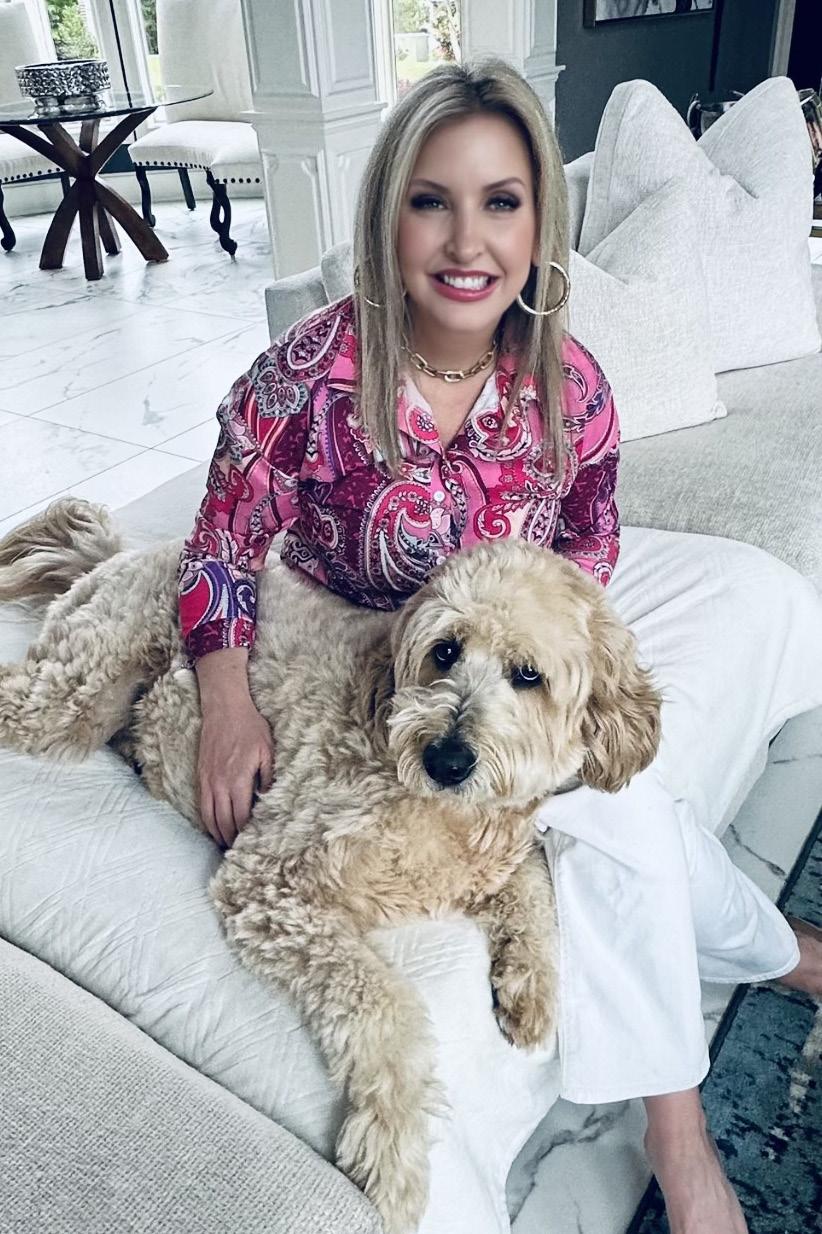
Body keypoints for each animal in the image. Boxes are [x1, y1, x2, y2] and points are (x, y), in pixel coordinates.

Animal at [0, 498, 660, 1233]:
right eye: (445, 651)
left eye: (528, 676)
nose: (447, 758)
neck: (443, 810)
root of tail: (126, 553)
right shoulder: (272, 883)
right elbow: (386, 1005)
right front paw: (393, 1156)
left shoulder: (495, 852)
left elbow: (534, 879)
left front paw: (533, 989)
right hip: (73, 694)